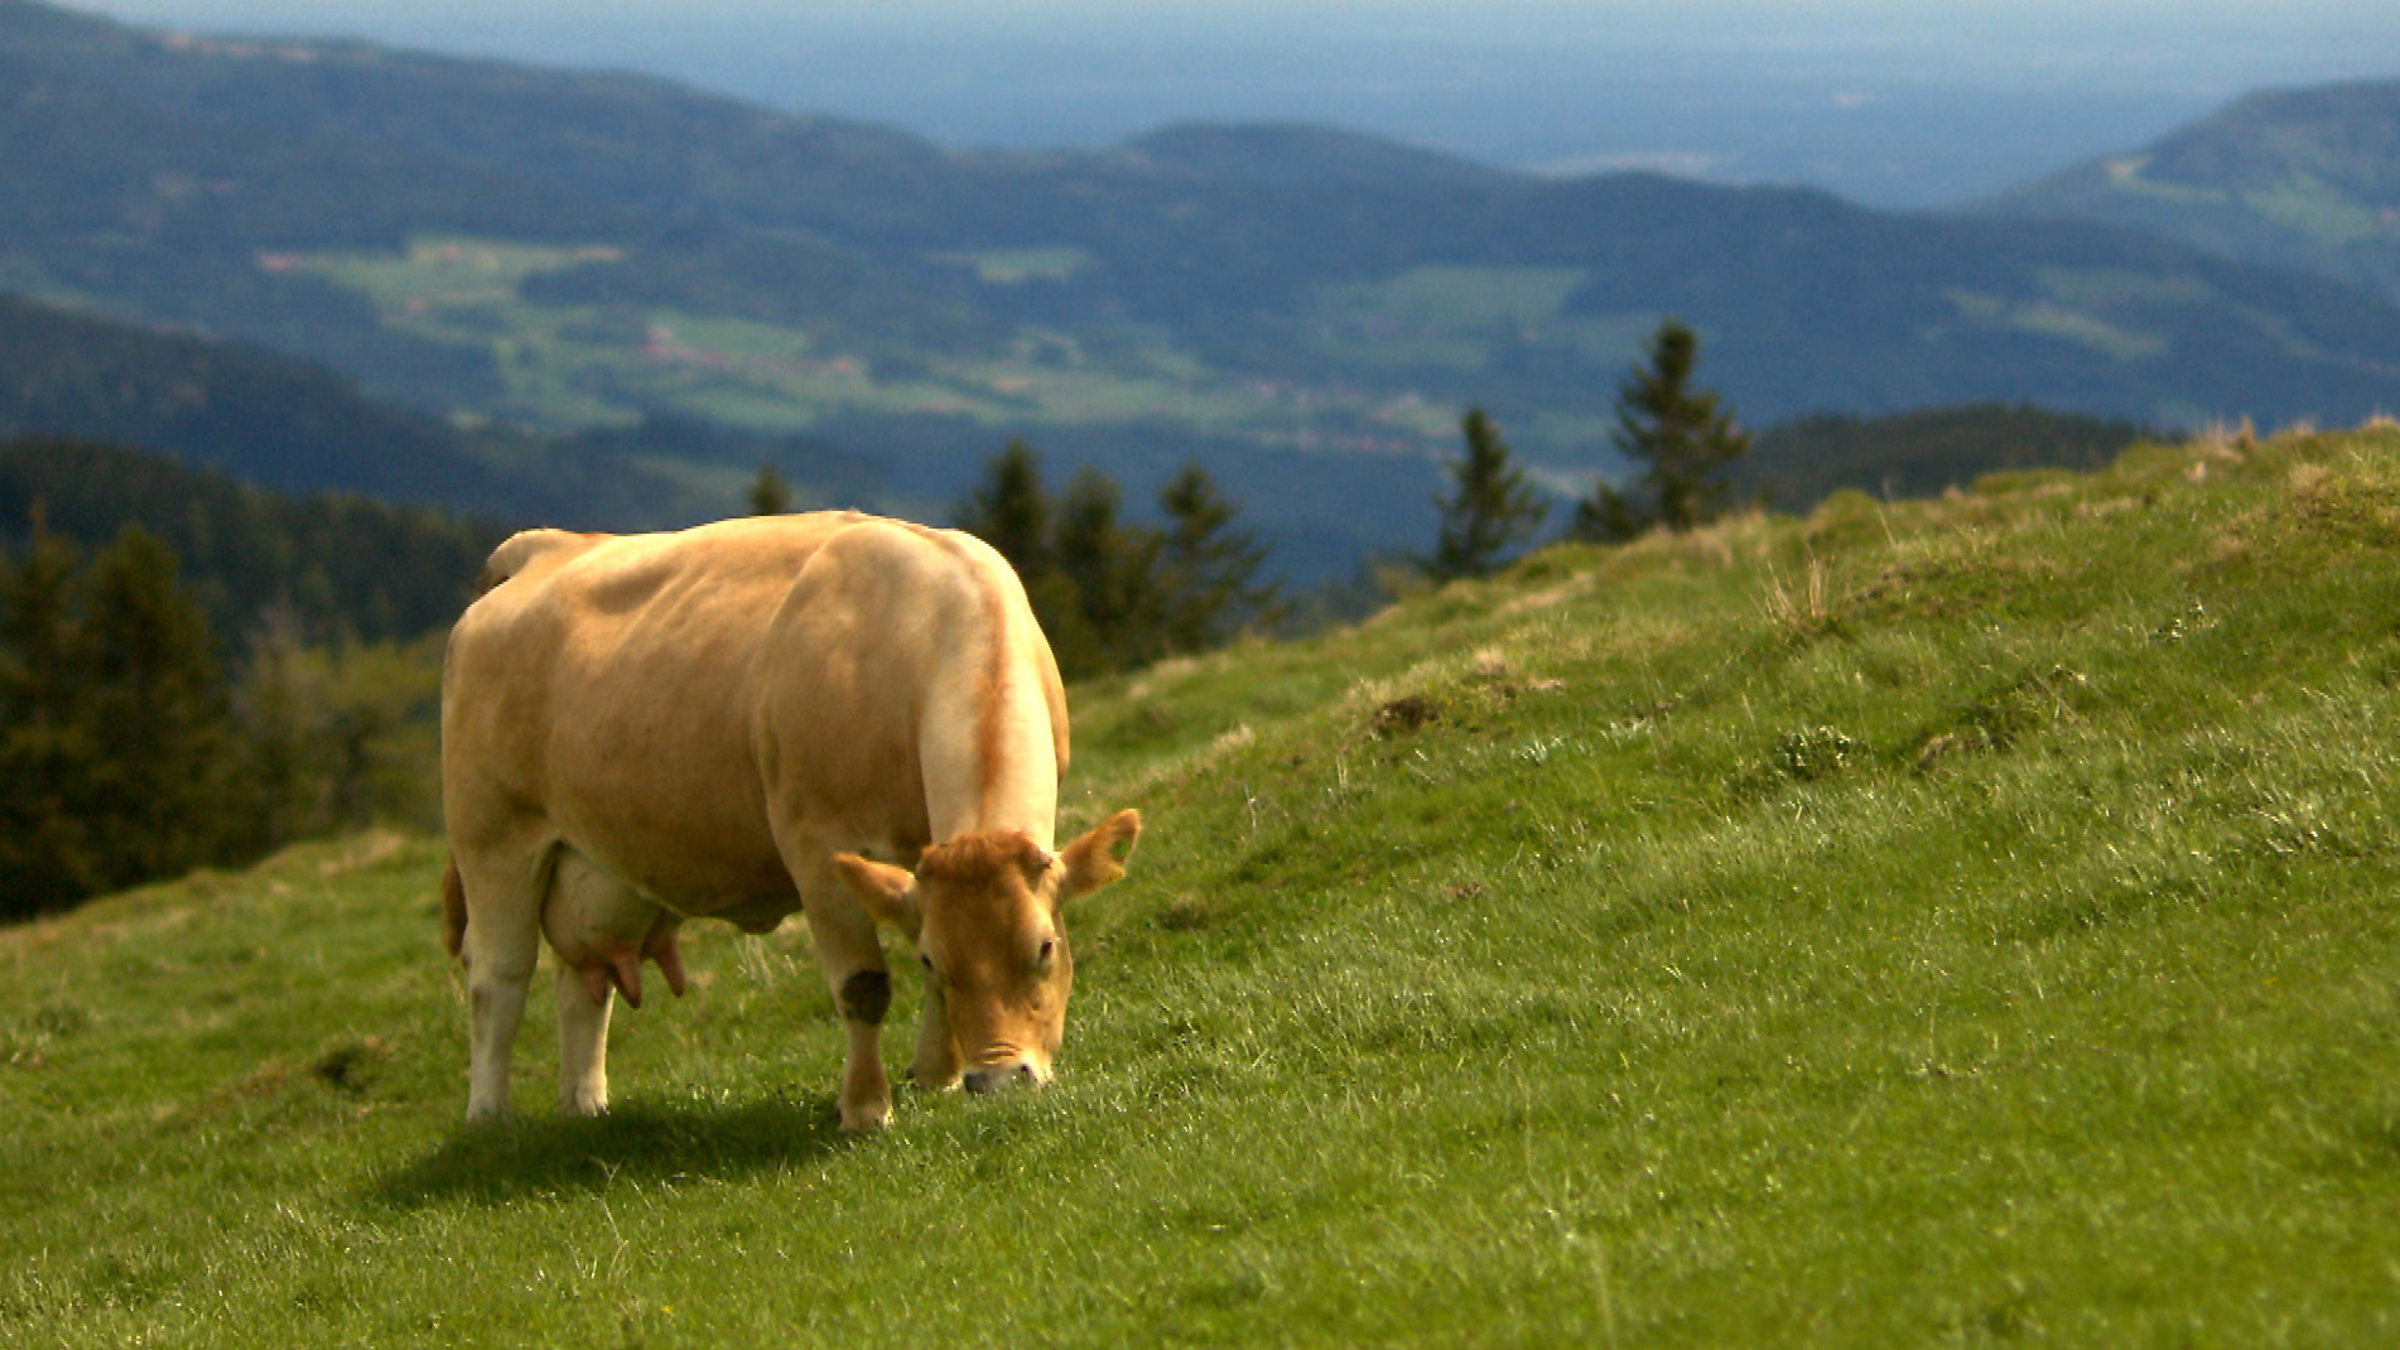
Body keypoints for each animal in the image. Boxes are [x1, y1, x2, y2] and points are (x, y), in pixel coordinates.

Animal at [439, 511, 1141, 1132]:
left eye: (1044, 947)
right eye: (935, 959)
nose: (997, 1079)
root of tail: (542, 548)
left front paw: (934, 1072)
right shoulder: (815, 844)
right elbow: (862, 984)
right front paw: (865, 1109)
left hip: (591, 866)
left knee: (583, 984)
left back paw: (585, 1107)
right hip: (494, 837)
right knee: (498, 977)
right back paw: (489, 1120)